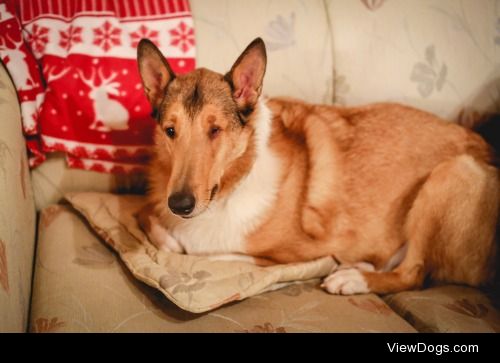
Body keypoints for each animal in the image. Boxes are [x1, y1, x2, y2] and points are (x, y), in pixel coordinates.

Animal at [135, 38, 498, 298]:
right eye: (170, 130)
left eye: (215, 130)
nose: (180, 204)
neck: (232, 183)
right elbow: (144, 215)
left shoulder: (292, 252)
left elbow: (204, 253)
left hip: (453, 172)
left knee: (413, 275)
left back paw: (353, 278)